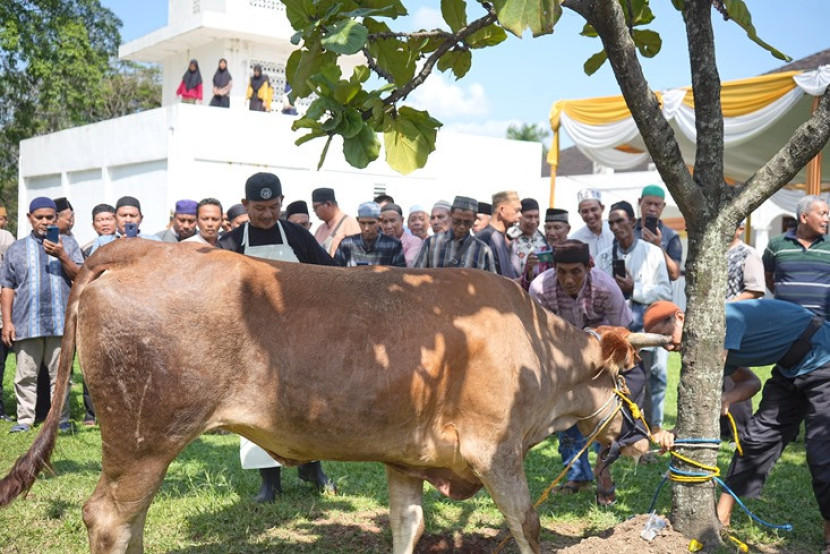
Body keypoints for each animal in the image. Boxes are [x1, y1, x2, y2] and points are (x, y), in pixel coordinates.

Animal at [0, 239, 668, 548]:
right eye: (630, 374)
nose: (648, 439)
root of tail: (134, 248)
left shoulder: (407, 459)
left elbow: (408, 526)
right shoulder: (496, 450)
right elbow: (528, 525)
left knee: (128, 521)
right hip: (143, 439)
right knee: (110, 518)